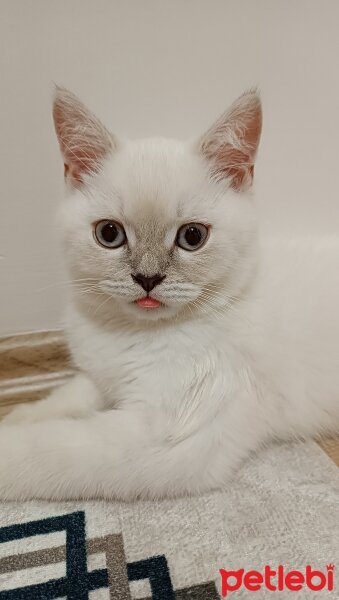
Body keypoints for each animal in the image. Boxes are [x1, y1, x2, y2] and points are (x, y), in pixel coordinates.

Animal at [0, 88, 339, 502]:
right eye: (109, 234)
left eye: (192, 236)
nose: (148, 278)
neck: (130, 332)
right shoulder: (104, 376)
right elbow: (71, 394)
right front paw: (20, 414)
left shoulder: (170, 435)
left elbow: (50, 446)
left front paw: (9, 439)